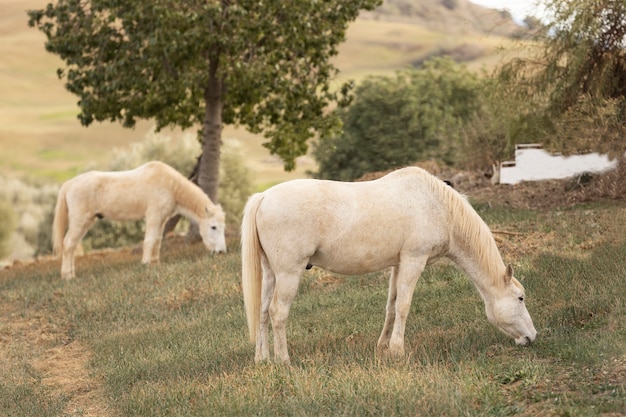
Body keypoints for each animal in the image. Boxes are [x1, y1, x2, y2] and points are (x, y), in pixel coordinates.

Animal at [51, 161, 227, 278]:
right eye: (213, 227)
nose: (221, 252)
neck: (170, 185)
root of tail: (69, 184)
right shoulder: (153, 217)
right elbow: (149, 241)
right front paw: (146, 265)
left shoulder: (162, 220)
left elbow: (157, 241)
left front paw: (156, 263)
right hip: (80, 221)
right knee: (68, 244)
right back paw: (67, 276)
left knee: (72, 246)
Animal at [241, 167, 532, 362]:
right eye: (520, 298)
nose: (532, 337)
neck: (438, 206)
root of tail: (264, 197)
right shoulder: (414, 260)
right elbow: (404, 306)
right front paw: (397, 350)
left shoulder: (398, 264)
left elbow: (391, 307)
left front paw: (382, 346)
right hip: (289, 273)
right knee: (278, 312)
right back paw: (284, 361)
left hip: (271, 273)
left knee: (263, 312)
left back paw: (263, 359)